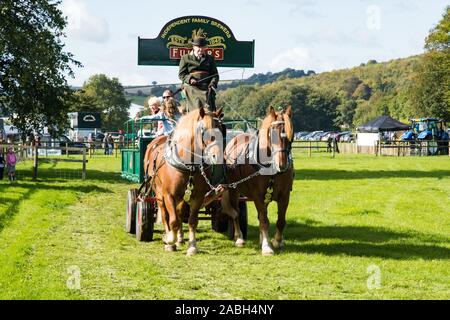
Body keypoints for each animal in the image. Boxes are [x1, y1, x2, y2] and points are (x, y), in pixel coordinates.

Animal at [143, 106, 224, 256]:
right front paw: (170, 241)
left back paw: (180, 238)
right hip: (158, 193)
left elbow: (192, 221)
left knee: (180, 212)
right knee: (165, 214)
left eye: (221, 128)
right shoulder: (169, 195)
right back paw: (170, 236)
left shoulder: (197, 196)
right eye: (203, 128)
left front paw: (192, 246)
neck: (188, 165)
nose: (217, 155)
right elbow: (173, 220)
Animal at [221, 106, 296, 256]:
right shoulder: (258, 196)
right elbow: (263, 220)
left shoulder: (284, 196)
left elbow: (280, 220)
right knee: (235, 213)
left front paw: (277, 241)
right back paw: (239, 237)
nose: (282, 164)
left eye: (291, 135)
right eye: (272, 135)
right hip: (233, 190)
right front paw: (267, 247)